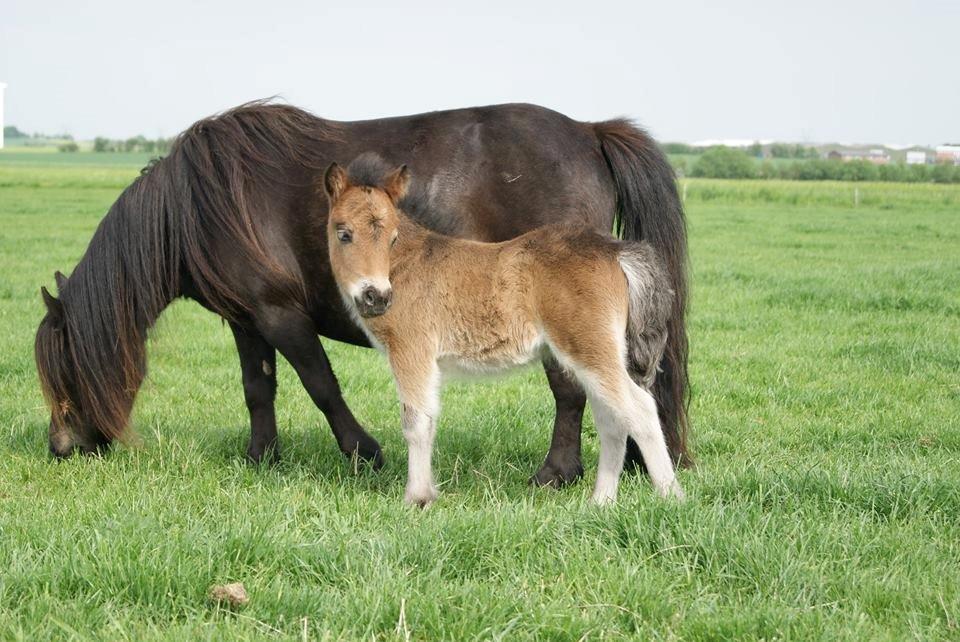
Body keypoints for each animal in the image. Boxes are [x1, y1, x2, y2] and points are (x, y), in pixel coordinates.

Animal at [322, 155, 684, 504]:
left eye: (393, 237)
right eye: (344, 233)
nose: (376, 297)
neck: (404, 266)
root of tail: (615, 251)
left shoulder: (411, 350)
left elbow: (416, 422)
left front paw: (418, 498)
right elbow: (429, 417)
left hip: (588, 348)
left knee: (639, 408)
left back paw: (671, 497)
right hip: (597, 353)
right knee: (612, 420)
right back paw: (601, 502)